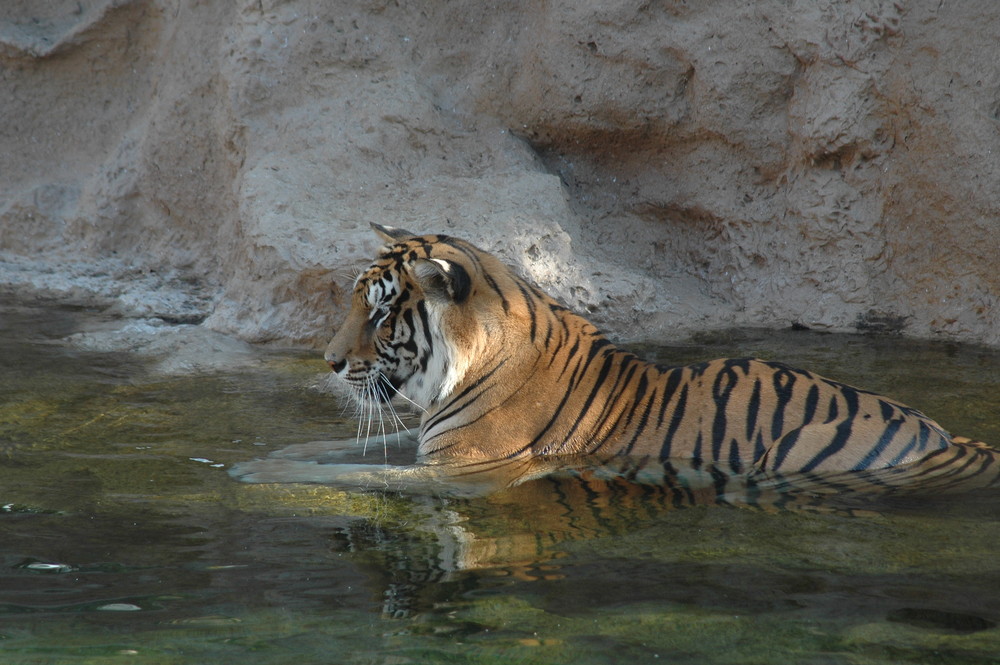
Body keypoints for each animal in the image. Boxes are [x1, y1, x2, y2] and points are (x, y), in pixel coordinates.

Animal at [229, 226, 1000, 490]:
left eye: (382, 311)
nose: (328, 360)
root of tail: (945, 436)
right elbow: (338, 450)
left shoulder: (462, 469)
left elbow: (358, 474)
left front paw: (253, 471)